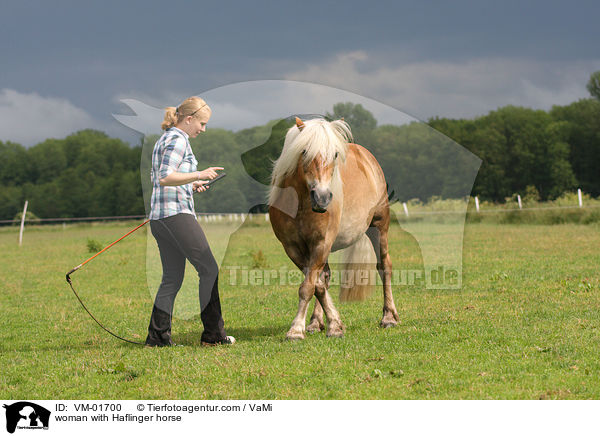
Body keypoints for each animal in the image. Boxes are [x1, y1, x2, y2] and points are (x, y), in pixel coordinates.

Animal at [270, 116, 400, 340]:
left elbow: (308, 287)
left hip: (379, 228)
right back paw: (315, 322)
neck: (300, 204)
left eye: (336, 154)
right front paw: (333, 324)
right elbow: (317, 285)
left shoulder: (321, 243)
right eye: (304, 151)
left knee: (385, 267)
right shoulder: (293, 247)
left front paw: (296, 330)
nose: (322, 198)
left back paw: (389, 317)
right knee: (325, 277)